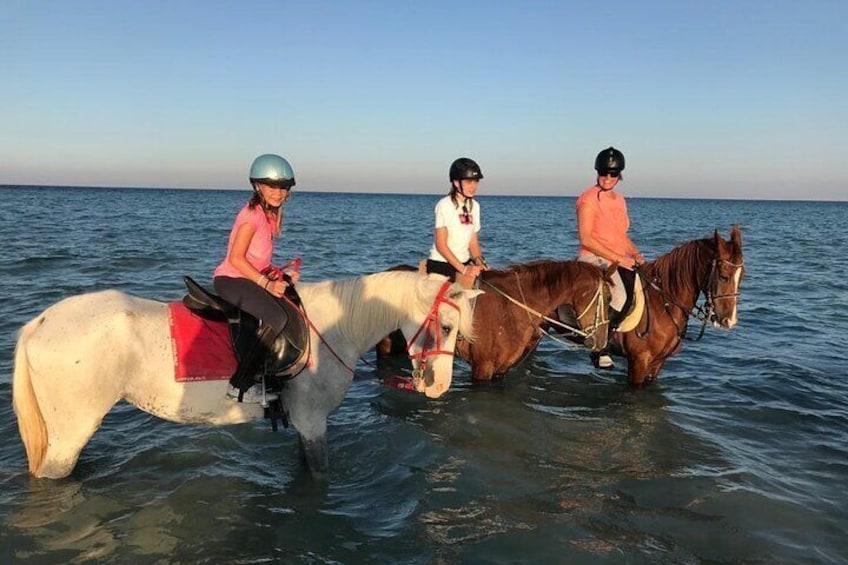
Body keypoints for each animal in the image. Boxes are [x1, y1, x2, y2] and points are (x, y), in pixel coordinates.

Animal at [13, 270, 480, 478]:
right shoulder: (313, 422)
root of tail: (39, 323)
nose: (438, 386)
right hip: (70, 434)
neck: (334, 327)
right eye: (446, 326)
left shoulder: (303, 424)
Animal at [376, 260, 608, 378]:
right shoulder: (483, 367)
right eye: (606, 298)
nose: (602, 340)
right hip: (385, 345)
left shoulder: (501, 369)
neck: (513, 307)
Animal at [608, 223, 744, 386]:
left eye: (742, 276)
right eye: (724, 277)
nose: (730, 320)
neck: (661, 305)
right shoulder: (638, 361)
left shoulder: (657, 362)